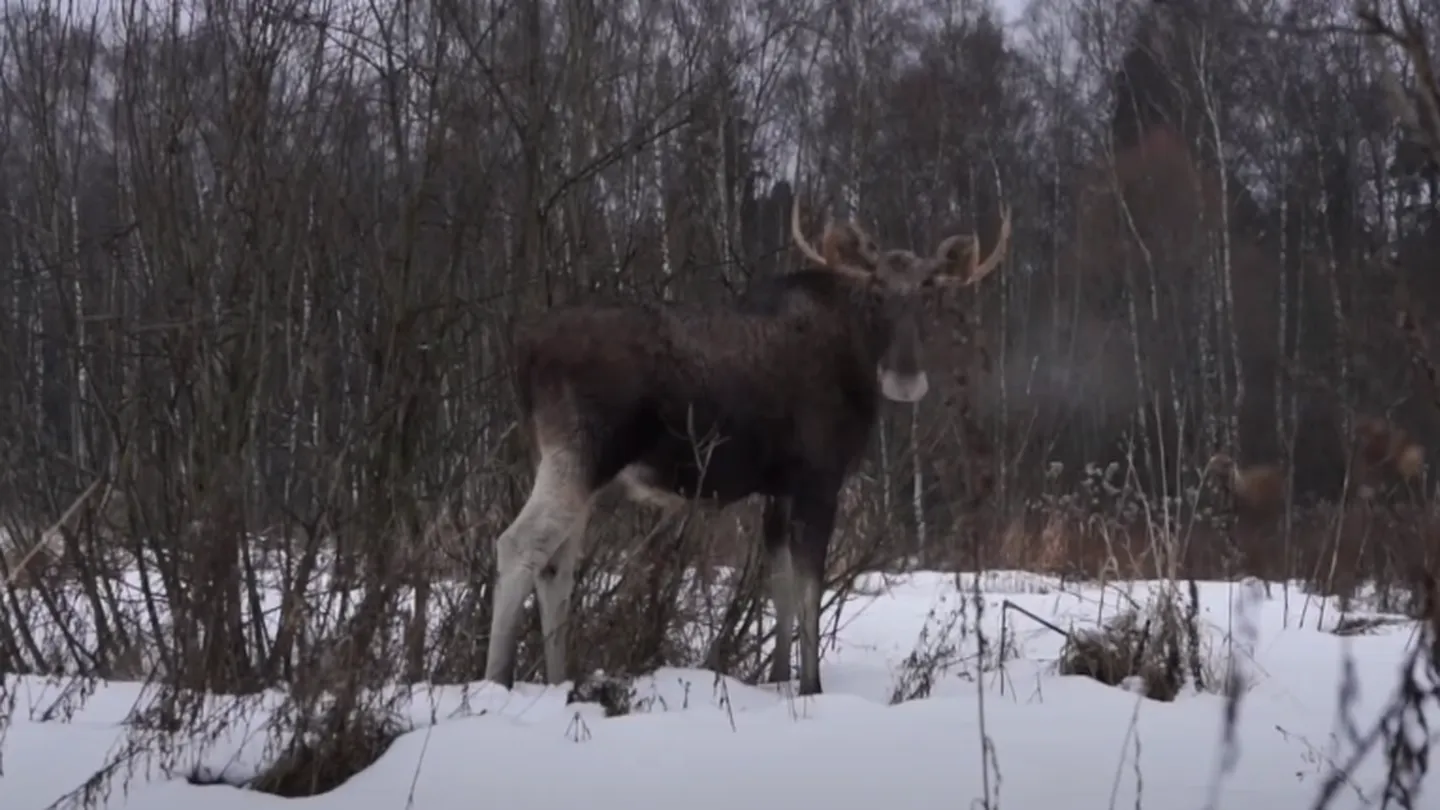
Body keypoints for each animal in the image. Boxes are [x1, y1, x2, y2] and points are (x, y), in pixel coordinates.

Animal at [483, 190, 1013, 694]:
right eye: (875, 291)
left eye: (927, 292)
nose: (905, 379)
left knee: (557, 566)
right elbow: (810, 589)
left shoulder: (777, 489)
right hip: (582, 453)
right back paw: (496, 680)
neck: (856, 356)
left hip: (566, 464)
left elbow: (779, 588)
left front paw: (776, 678)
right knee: (519, 544)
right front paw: (811, 685)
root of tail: (523, 351)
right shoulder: (819, 480)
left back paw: (559, 681)